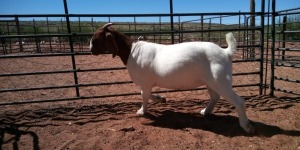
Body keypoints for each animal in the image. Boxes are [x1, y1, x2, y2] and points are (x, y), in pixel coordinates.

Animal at [90, 22, 254, 133]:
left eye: (96, 37)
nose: (90, 49)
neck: (131, 51)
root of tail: (226, 52)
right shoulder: (147, 83)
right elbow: (146, 94)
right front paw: (161, 98)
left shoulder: (145, 81)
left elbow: (144, 95)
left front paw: (142, 111)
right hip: (211, 82)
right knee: (215, 96)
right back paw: (205, 112)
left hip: (221, 80)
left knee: (239, 101)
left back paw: (246, 127)